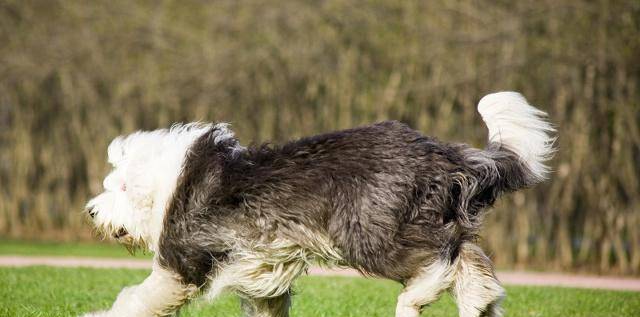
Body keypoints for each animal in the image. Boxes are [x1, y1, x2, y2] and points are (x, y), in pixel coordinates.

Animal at [82, 92, 556, 316]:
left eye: (117, 186)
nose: (91, 211)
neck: (164, 182)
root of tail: (442, 153)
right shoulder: (261, 270)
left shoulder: (183, 260)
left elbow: (139, 299)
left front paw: (100, 314)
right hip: (419, 220)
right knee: (471, 256)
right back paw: (479, 303)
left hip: (371, 230)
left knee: (440, 261)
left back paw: (413, 301)